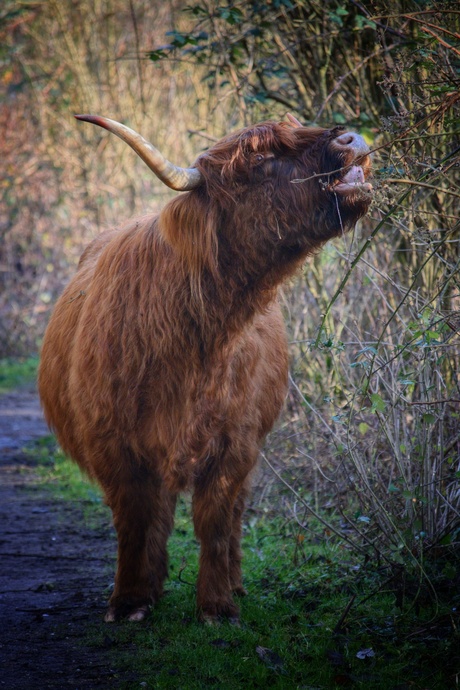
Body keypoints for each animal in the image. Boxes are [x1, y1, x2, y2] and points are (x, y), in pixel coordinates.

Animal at [37, 110, 372, 620]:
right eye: (260, 159)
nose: (352, 138)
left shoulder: (236, 441)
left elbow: (214, 519)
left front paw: (216, 606)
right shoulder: (114, 444)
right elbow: (135, 521)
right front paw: (129, 600)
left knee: (232, 515)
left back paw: (233, 585)